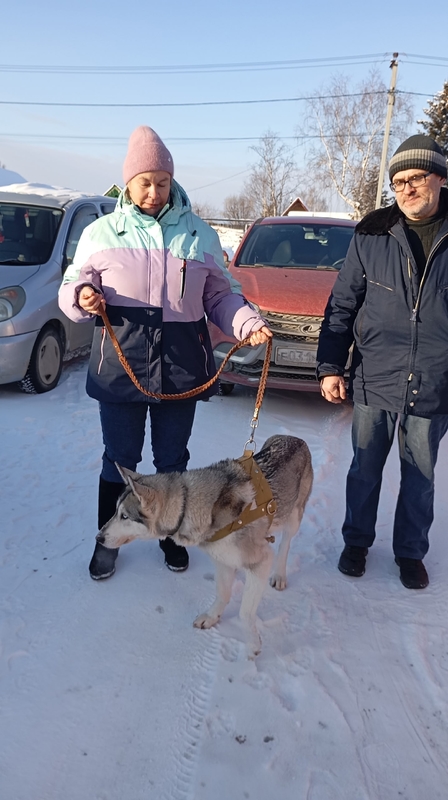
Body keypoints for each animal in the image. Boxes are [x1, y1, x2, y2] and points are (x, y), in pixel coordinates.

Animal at [97, 435, 313, 657]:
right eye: (115, 511)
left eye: (124, 516)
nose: (99, 538)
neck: (191, 506)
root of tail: (294, 438)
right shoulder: (222, 560)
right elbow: (222, 593)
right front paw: (212, 617)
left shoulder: (260, 562)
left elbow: (245, 613)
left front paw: (253, 645)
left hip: (294, 518)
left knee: (285, 544)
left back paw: (279, 575)